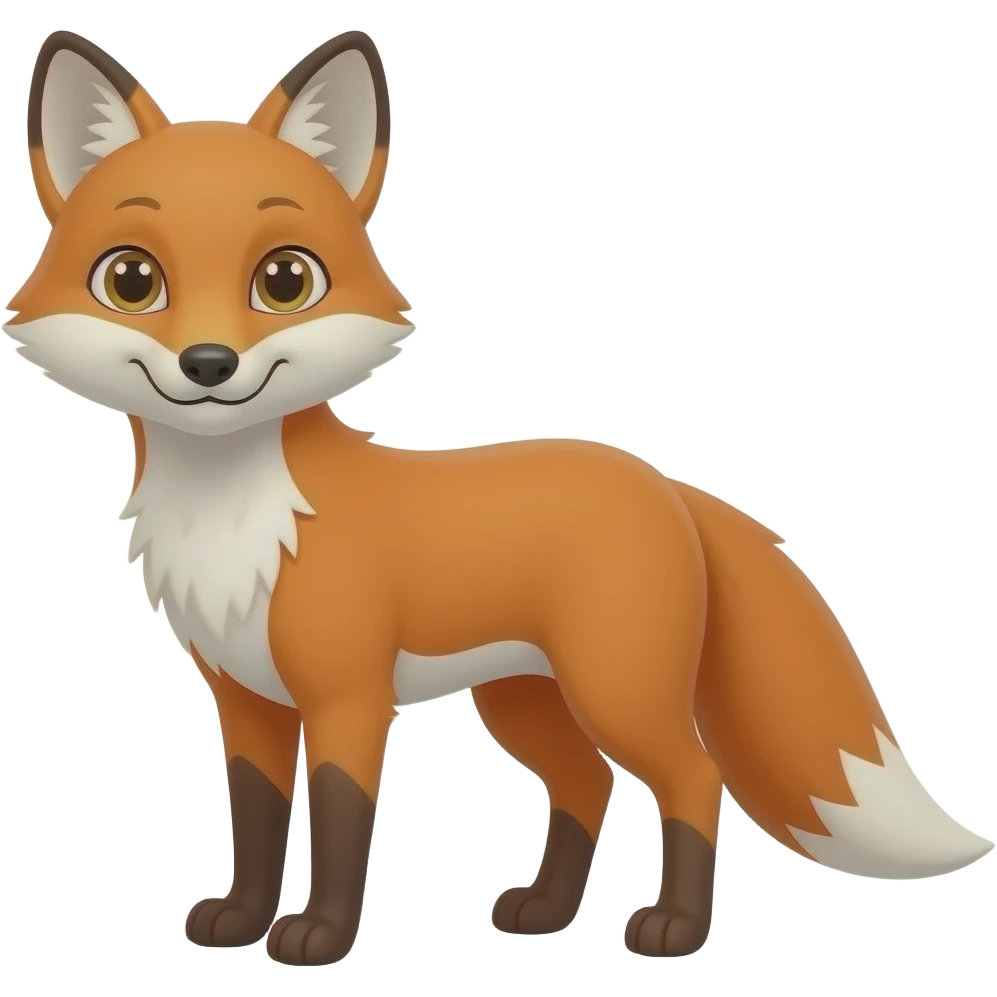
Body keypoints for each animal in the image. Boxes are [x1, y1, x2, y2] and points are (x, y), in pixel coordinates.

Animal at [5, 27, 993, 967]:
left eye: (284, 279)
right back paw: (546, 912)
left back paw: (673, 926)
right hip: (523, 700)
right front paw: (241, 921)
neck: (238, 517)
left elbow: (337, 825)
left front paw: (319, 935)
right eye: (132, 279)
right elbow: (253, 823)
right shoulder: (246, 702)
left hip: (614, 687)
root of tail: (663, 481)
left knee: (690, 777)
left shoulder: (347, 698)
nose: (208, 364)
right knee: (585, 785)